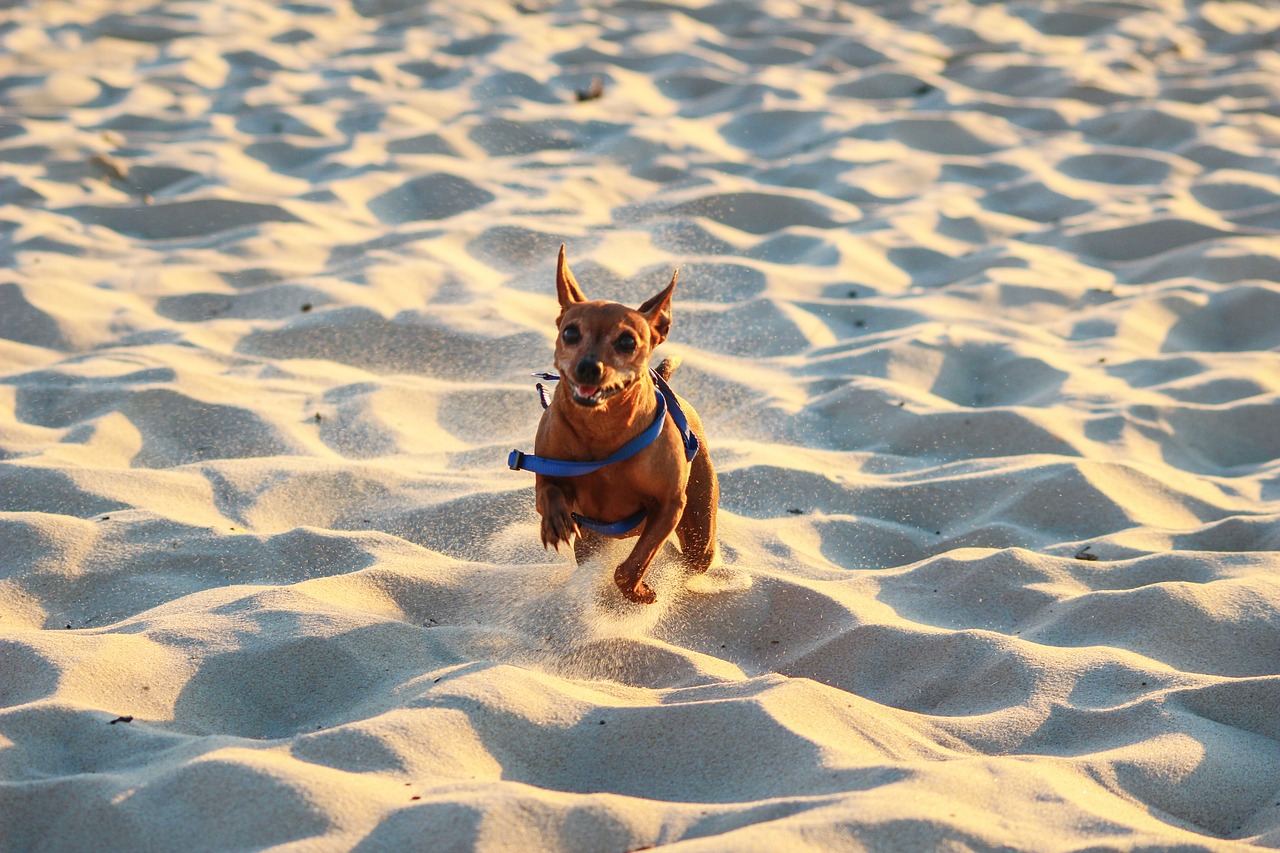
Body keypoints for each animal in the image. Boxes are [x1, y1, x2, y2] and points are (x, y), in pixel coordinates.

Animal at [509, 244, 721, 604]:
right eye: (570, 332)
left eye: (626, 342)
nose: (588, 367)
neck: (602, 431)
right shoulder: (547, 469)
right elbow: (548, 491)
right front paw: (554, 521)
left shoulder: (669, 506)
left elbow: (632, 565)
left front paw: (639, 591)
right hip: (591, 542)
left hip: (699, 530)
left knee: (690, 556)